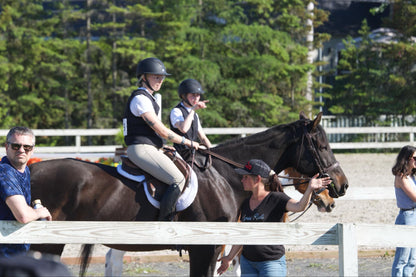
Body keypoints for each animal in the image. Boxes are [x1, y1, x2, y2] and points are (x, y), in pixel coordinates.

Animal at [28, 111, 348, 274]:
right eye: (321, 146)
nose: (341, 185)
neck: (225, 177)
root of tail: (29, 170)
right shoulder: (204, 248)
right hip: (47, 242)